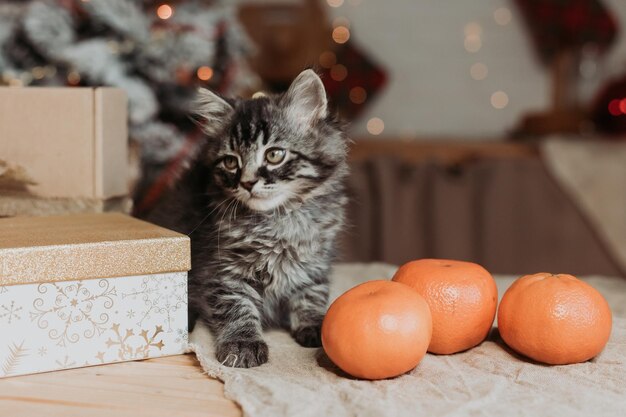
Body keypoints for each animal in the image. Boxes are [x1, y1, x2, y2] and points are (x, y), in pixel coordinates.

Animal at [149, 70, 348, 366]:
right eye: (231, 162)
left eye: (274, 155)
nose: (247, 182)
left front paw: (316, 325)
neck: (279, 220)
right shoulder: (224, 271)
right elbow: (237, 308)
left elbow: (312, 295)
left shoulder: (314, 262)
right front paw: (242, 343)